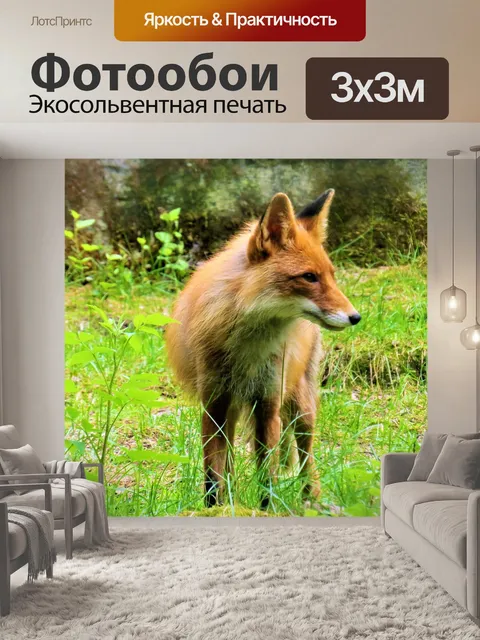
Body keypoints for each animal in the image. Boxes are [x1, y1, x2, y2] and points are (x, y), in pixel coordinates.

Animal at [166, 189, 360, 508]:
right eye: (309, 277)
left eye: (332, 275)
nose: (355, 317)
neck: (248, 349)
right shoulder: (214, 403)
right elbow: (212, 475)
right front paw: (216, 509)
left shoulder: (267, 404)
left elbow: (268, 477)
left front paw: (268, 510)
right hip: (234, 408)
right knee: (229, 458)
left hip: (301, 405)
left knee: (306, 455)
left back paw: (312, 500)